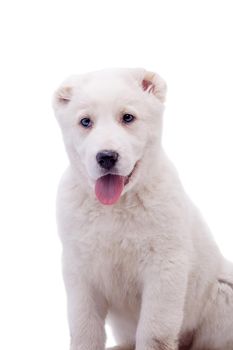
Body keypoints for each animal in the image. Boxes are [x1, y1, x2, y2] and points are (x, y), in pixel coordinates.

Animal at [52, 69, 233, 350]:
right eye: (85, 122)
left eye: (128, 117)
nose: (106, 157)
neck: (116, 206)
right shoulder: (79, 266)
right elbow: (85, 327)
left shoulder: (165, 264)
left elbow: (154, 330)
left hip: (223, 294)